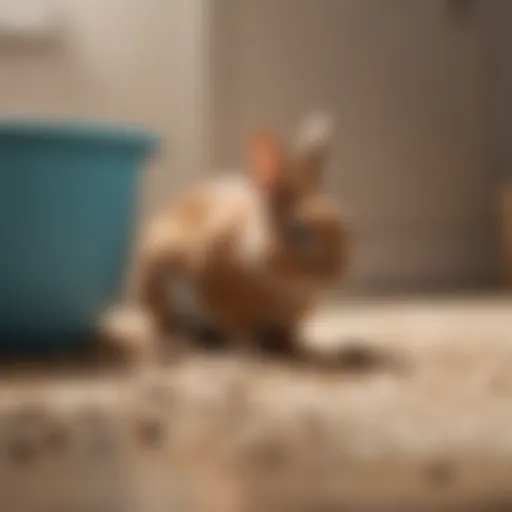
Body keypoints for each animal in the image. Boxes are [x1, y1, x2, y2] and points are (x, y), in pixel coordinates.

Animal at [111, 113, 350, 364]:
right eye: (301, 232)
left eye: (341, 219)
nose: (337, 272)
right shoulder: (220, 294)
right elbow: (237, 330)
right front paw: (253, 352)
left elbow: (289, 339)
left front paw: (307, 350)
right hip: (158, 280)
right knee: (165, 325)